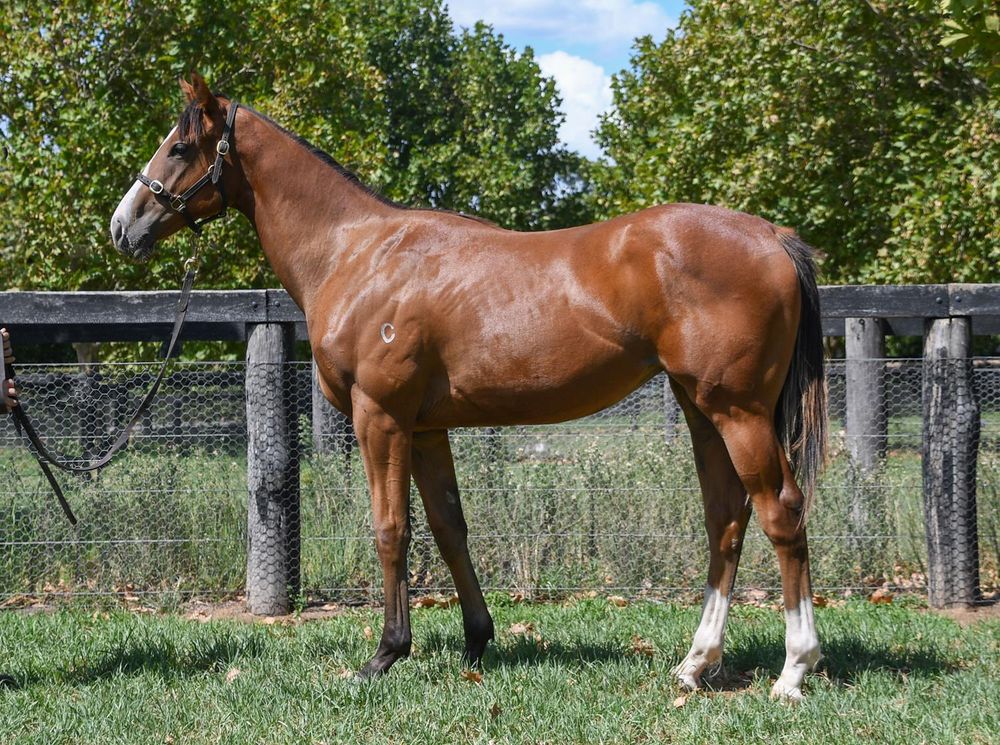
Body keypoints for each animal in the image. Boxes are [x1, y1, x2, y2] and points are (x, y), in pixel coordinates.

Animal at [111, 73, 827, 700]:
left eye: (180, 147)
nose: (124, 225)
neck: (357, 253)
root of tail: (773, 236)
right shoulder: (427, 429)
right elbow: (449, 526)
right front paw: (476, 640)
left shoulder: (381, 418)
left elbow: (392, 529)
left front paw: (386, 654)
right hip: (701, 409)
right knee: (726, 518)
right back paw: (696, 664)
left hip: (738, 412)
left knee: (781, 512)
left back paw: (793, 670)